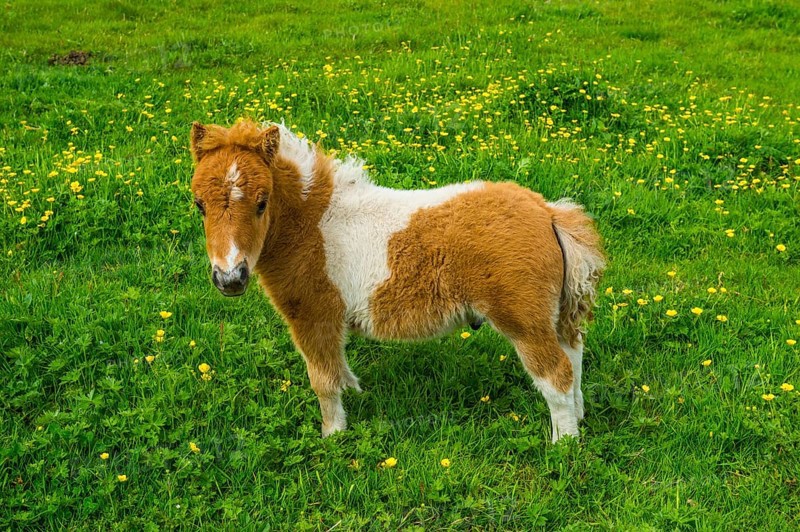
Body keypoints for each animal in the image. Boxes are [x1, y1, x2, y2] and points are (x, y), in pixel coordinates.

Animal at [189, 120, 605, 443]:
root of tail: (547, 212)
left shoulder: (313, 315)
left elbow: (323, 380)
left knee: (556, 375)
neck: (313, 223)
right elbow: (339, 371)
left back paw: (563, 445)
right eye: (199, 204)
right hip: (553, 315)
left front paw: (333, 436)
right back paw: (580, 417)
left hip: (524, 321)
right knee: (574, 356)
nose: (229, 278)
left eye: (262, 202)